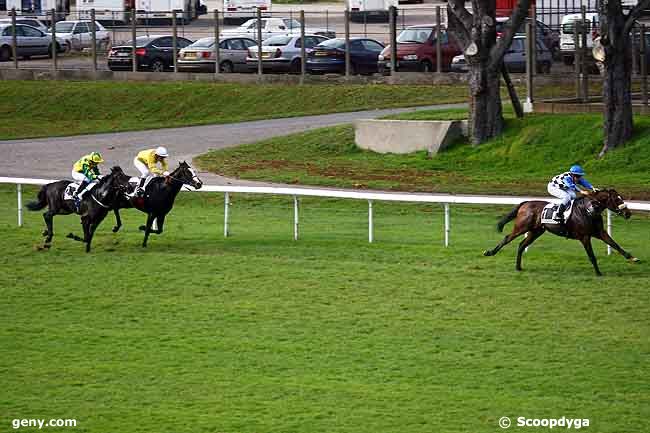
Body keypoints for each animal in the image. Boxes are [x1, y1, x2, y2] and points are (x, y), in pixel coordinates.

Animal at [480, 187, 636, 276]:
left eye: (621, 197)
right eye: (617, 199)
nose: (628, 213)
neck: (589, 210)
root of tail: (525, 203)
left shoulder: (600, 232)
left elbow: (615, 244)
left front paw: (632, 258)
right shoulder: (585, 237)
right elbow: (591, 255)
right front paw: (598, 273)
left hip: (536, 231)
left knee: (522, 245)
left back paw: (518, 267)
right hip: (522, 227)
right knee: (507, 238)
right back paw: (490, 252)